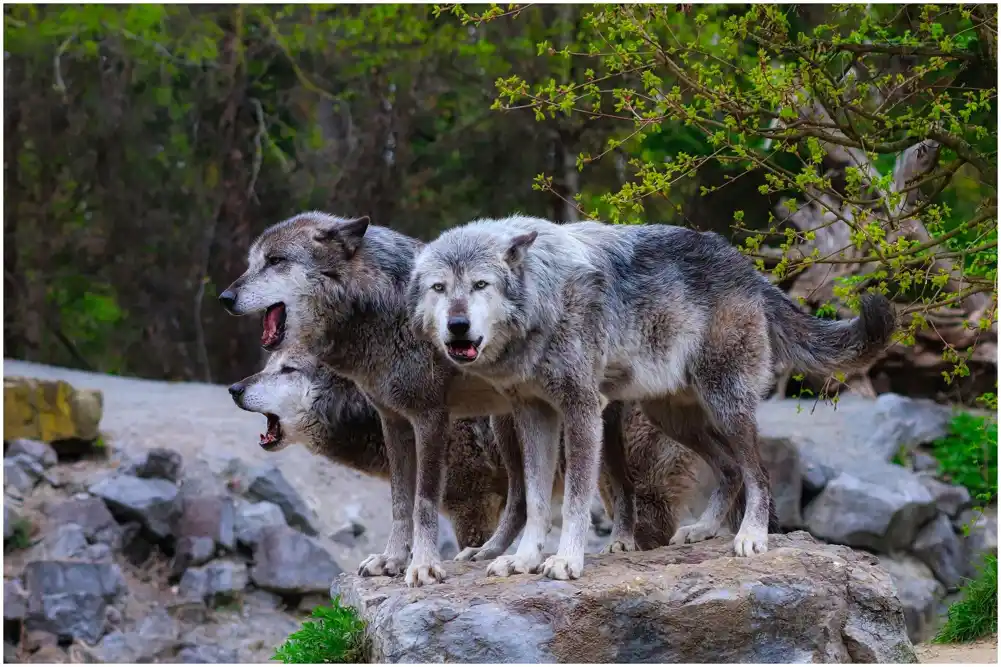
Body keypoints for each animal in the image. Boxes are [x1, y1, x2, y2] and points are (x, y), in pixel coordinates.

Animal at [220, 211, 640, 580]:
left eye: (275, 261)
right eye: (252, 262)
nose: (224, 297)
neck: (384, 313)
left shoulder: (435, 429)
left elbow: (422, 504)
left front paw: (423, 567)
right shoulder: (395, 422)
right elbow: (400, 503)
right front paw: (391, 561)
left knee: (621, 484)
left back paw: (621, 542)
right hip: (509, 425)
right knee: (523, 501)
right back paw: (489, 553)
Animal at [410, 213, 896, 576]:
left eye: (480, 285)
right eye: (439, 288)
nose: (457, 326)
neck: (545, 296)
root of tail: (747, 268)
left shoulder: (581, 409)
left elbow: (574, 502)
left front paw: (566, 561)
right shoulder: (534, 415)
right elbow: (535, 499)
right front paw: (523, 559)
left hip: (726, 405)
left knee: (757, 473)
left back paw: (751, 537)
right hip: (674, 419)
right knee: (731, 470)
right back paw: (703, 530)